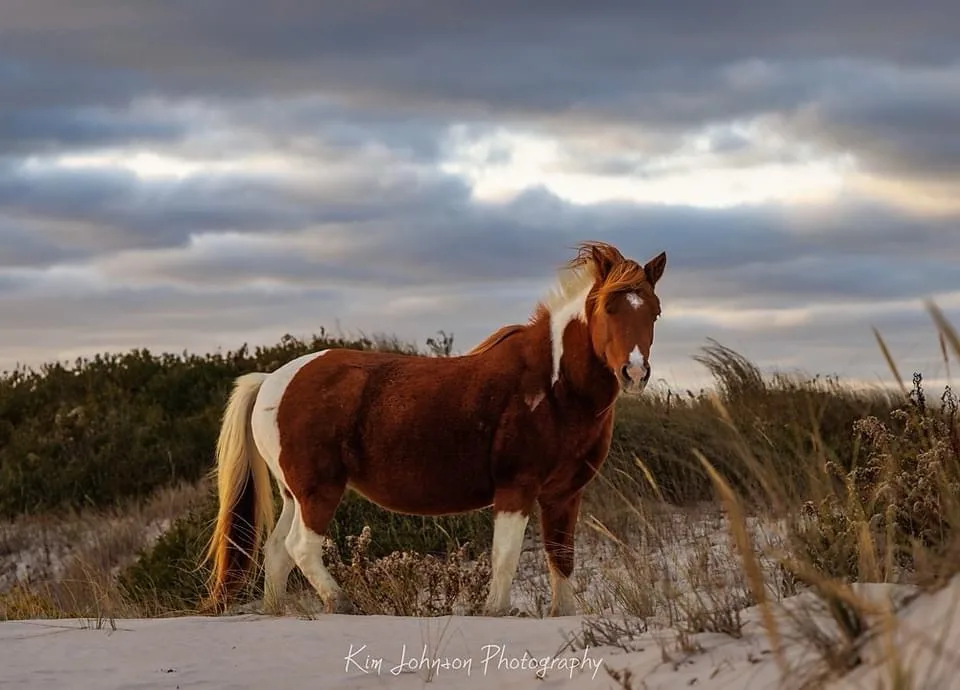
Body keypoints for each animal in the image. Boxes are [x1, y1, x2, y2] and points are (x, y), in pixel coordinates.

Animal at [202, 240, 666, 618]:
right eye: (607, 308)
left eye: (655, 311)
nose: (634, 373)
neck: (553, 384)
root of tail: (272, 378)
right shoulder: (516, 488)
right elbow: (506, 557)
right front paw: (495, 612)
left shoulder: (564, 495)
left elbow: (561, 557)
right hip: (318, 490)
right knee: (301, 547)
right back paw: (342, 603)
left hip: (293, 494)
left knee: (277, 551)